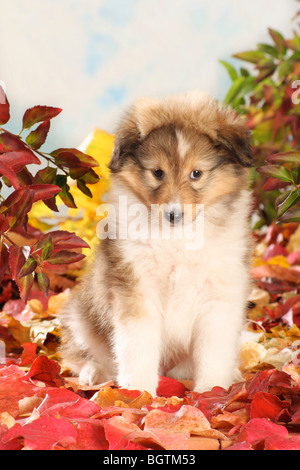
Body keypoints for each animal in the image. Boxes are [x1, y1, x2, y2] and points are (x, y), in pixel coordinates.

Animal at [59, 92, 254, 396]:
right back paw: (93, 373)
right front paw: (137, 393)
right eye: (158, 173)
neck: (177, 240)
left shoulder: (219, 294)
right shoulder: (136, 290)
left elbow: (213, 351)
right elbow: (137, 347)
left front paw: (212, 390)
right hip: (81, 316)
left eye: (196, 173)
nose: (173, 215)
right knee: (84, 354)